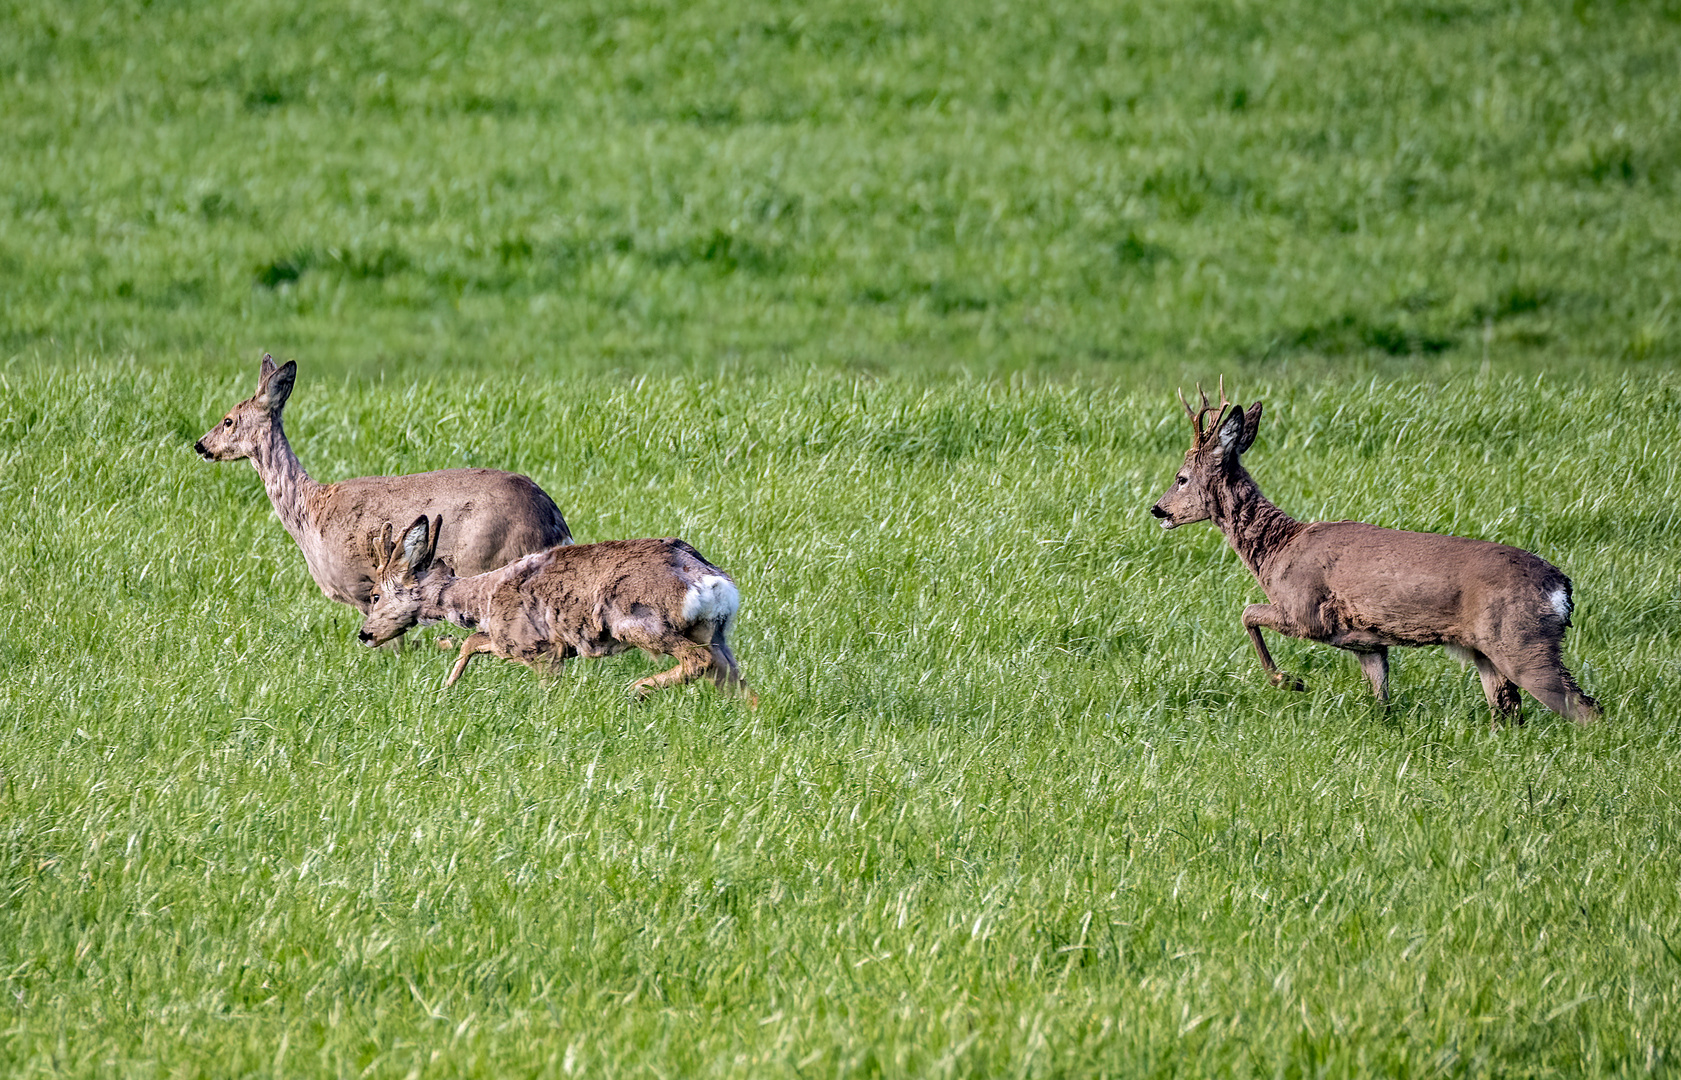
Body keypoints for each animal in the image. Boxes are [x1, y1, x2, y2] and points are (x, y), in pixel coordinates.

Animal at [196, 354, 571, 612]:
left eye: (228, 420)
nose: (200, 445)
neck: (311, 513)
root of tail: (554, 523)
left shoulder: (361, 582)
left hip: (484, 557)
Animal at [361, 511, 756, 699]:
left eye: (375, 595)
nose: (364, 635)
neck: (483, 597)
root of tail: (711, 581)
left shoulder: (540, 647)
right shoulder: (513, 642)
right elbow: (472, 642)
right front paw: (447, 689)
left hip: (639, 621)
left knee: (697, 661)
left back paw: (637, 691)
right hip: (714, 632)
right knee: (739, 684)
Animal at [1143, 383, 1600, 720]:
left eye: (1181, 478)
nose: (1158, 510)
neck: (1277, 551)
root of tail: (1562, 589)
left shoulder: (1304, 611)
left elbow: (1247, 614)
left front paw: (1290, 681)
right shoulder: (1367, 643)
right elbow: (1381, 700)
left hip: (1523, 642)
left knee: (1585, 708)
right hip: (1487, 652)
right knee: (1507, 710)